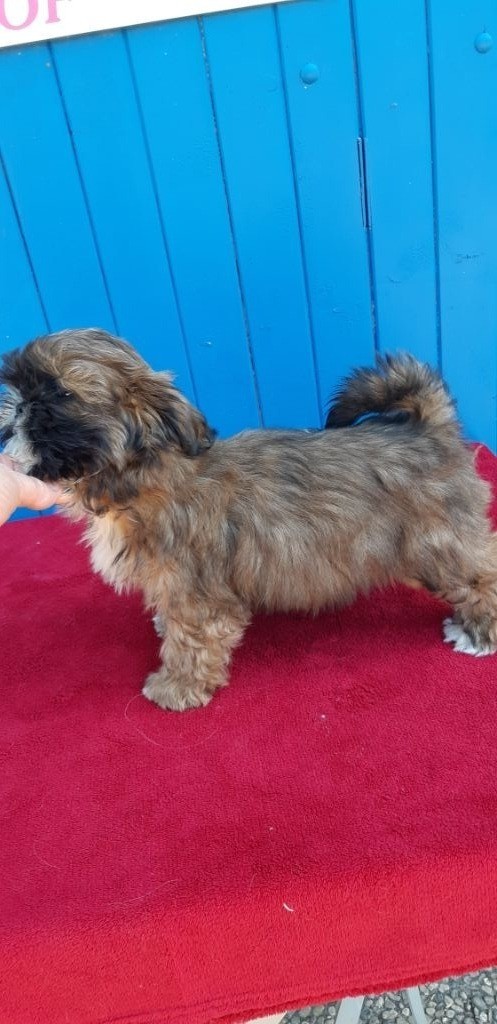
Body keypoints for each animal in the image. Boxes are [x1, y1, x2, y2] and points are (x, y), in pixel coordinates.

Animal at [1, 328, 496, 711]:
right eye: (23, 389)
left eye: (62, 393)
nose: (17, 409)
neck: (140, 474)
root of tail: (428, 429)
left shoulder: (199, 596)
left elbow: (190, 640)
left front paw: (176, 686)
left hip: (436, 542)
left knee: (481, 572)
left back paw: (478, 631)